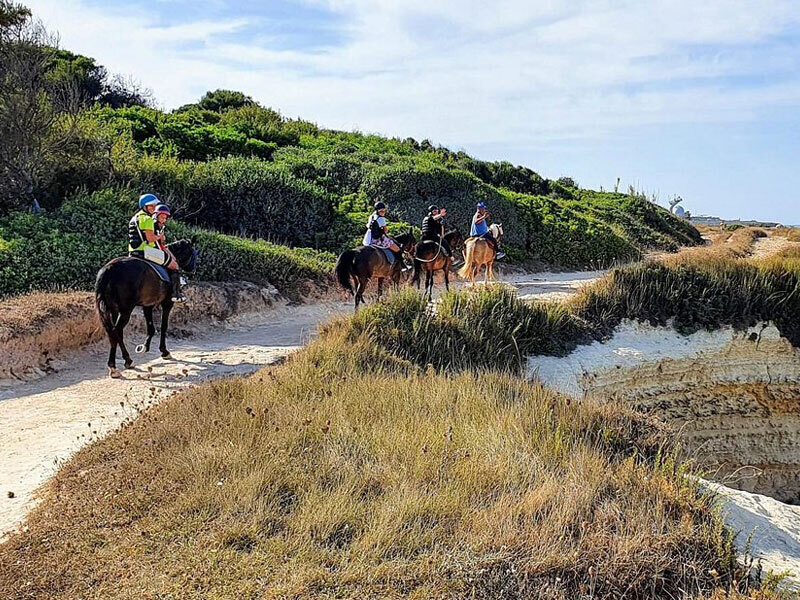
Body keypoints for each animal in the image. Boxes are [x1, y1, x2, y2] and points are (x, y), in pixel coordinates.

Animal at [95, 239, 198, 378]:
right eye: (193, 253)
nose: (193, 270)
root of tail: (109, 269)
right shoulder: (167, 304)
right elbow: (164, 326)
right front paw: (164, 351)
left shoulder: (147, 305)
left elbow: (151, 328)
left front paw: (145, 347)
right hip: (126, 310)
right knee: (115, 331)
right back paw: (113, 366)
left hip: (114, 310)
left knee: (116, 333)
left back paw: (127, 360)